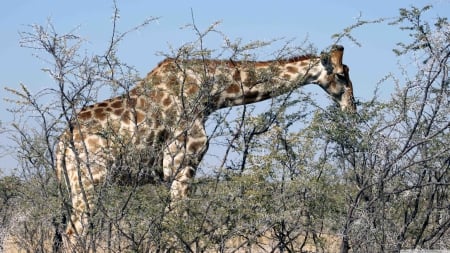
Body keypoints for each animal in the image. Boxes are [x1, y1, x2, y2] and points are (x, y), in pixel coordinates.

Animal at [55, 44, 356, 241]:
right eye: (342, 75)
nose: (351, 108)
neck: (210, 92)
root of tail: (62, 142)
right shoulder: (183, 163)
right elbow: (177, 226)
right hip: (90, 182)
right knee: (74, 233)